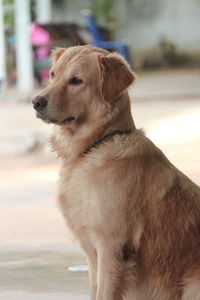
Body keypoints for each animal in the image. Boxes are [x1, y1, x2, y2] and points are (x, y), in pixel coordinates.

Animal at [32, 45, 200, 300]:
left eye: (76, 80)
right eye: (52, 75)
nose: (36, 101)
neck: (95, 146)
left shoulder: (111, 248)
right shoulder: (93, 254)